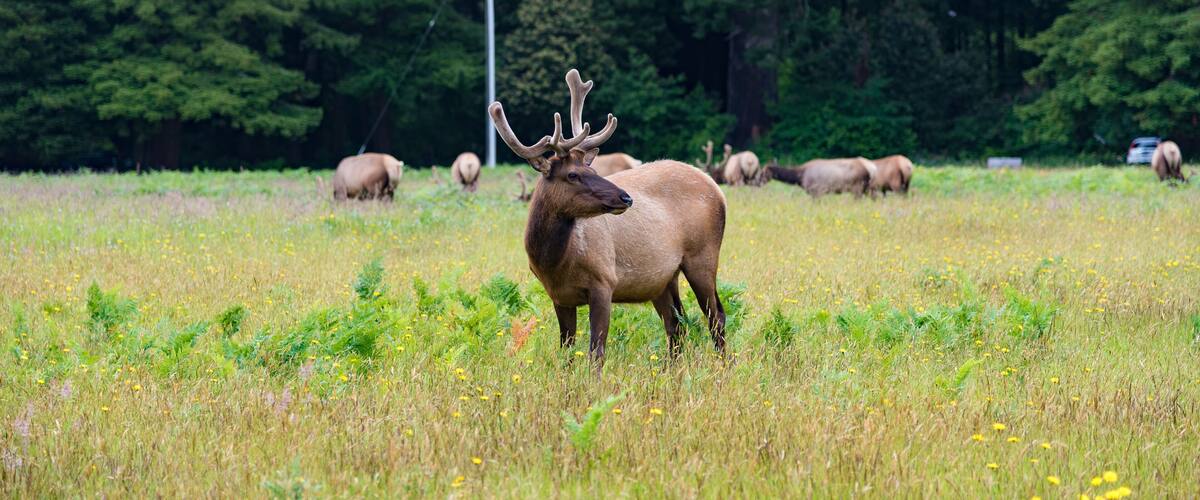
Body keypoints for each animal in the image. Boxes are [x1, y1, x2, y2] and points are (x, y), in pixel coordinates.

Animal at [489, 69, 728, 365]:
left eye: (592, 170)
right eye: (573, 174)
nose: (626, 197)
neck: (554, 263)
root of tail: (717, 188)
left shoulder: (604, 281)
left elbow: (596, 351)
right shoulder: (559, 296)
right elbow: (567, 350)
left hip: (702, 256)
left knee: (716, 316)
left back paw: (724, 367)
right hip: (662, 278)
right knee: (676, 323)